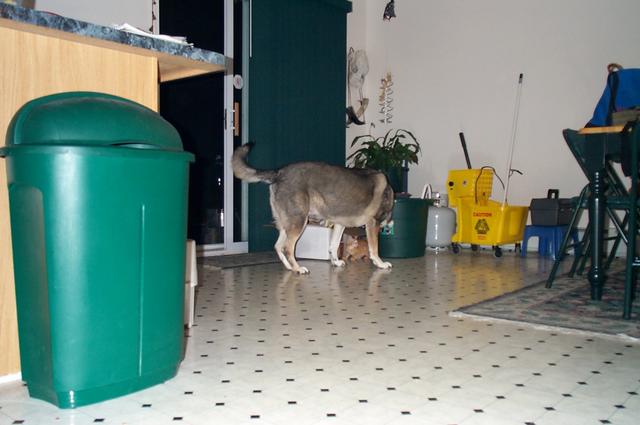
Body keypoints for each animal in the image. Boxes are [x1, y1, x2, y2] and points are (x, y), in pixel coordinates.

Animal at [232, 143, 395, 274]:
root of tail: (279, 172)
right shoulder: (372, 223)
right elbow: (374, 248)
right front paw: (380, 263)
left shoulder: (339, 224)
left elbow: (333, 245)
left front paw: (335, 261)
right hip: (299, 222)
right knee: (288, 248)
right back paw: (298, 268)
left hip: (287, 224)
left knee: (278, 246)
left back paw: (290, 267)